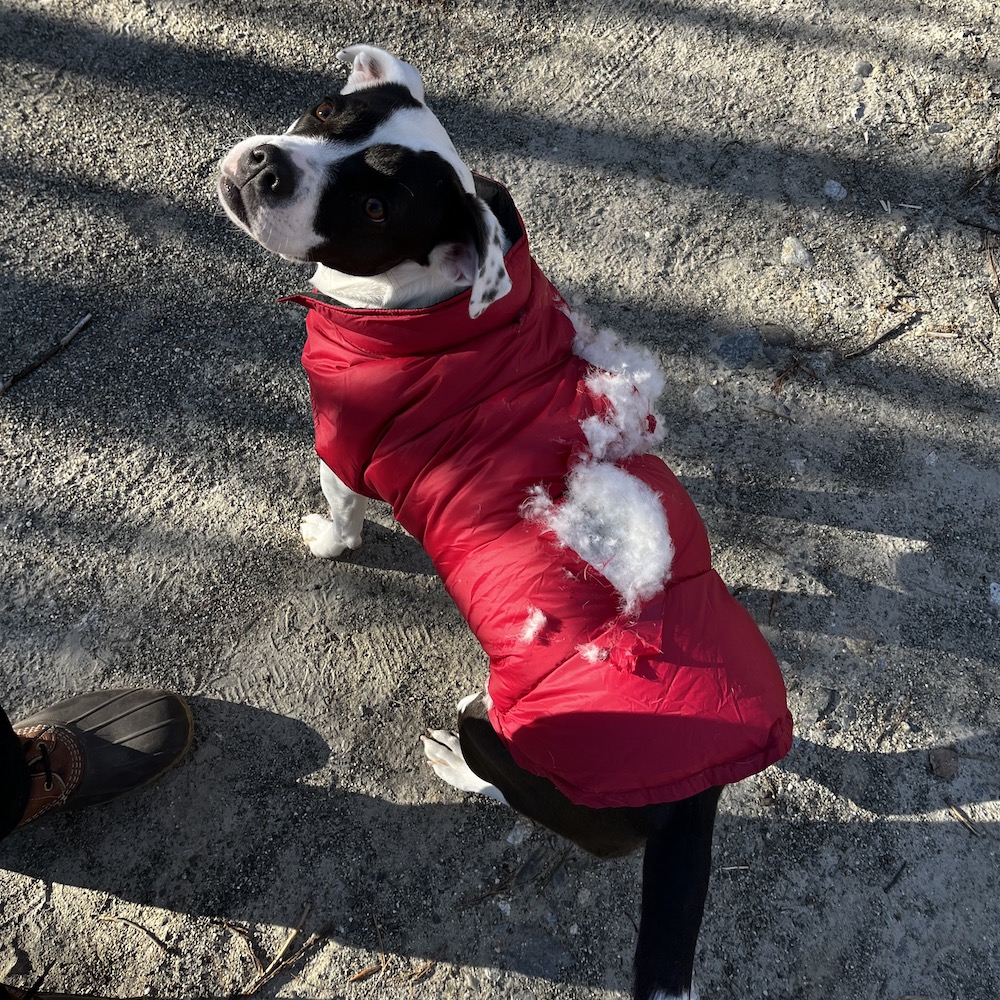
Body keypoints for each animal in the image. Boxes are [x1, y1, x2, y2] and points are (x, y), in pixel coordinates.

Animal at [217, 43, 788, 996]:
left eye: (375, 207)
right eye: (328, 111)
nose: (268, 166)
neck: (434, 310)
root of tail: (695, 798)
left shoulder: (341, 444)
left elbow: (342, 514)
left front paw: (327, 542)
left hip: (518, 749)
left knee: (506, 786)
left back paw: (455, 762)